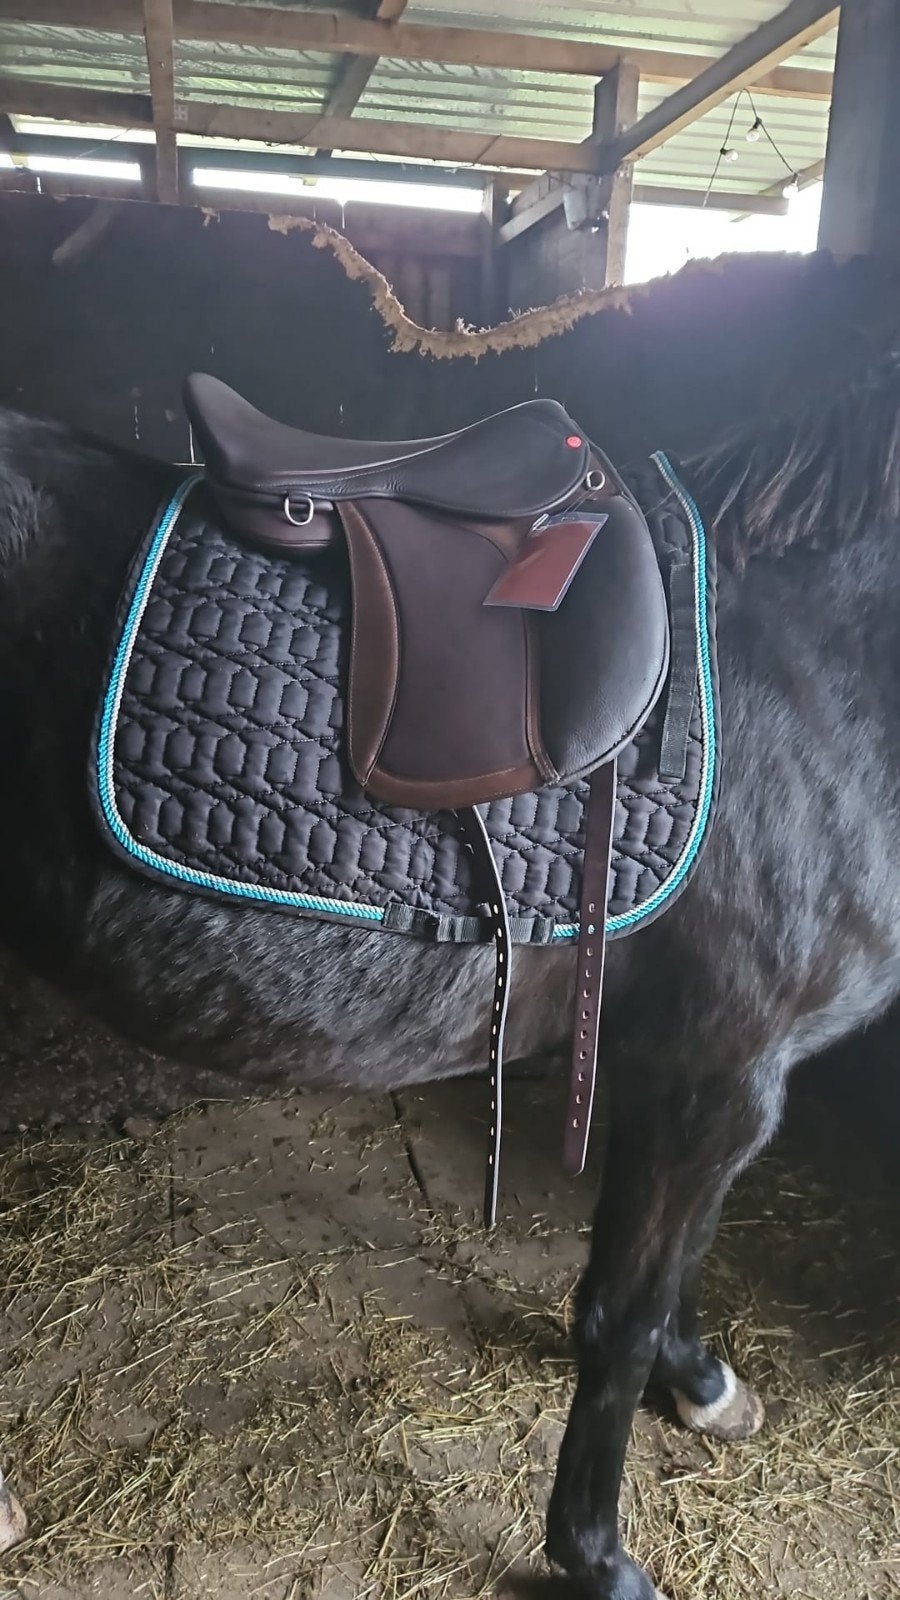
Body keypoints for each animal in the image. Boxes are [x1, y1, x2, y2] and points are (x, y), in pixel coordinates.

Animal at [1, 348, 899, 1600]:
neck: (814, 672)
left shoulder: (685, 1070)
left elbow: (672, 1268)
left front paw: (703, 1383)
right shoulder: (722, 1073)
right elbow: (620, 1311)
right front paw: (596, 1555)